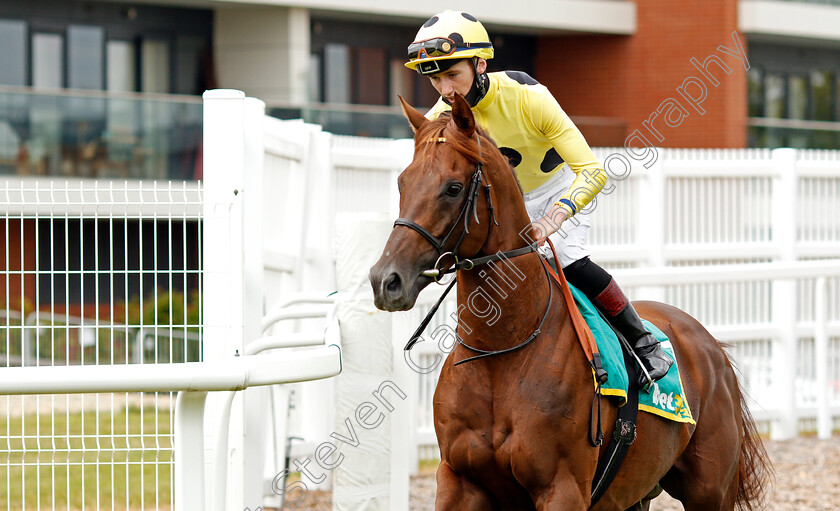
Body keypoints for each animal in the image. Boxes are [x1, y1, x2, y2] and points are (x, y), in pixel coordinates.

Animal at [370, 94, 772, 510]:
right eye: (402, 182)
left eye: (452, 187)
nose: (386, 279)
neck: (501, 352)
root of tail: (711, 346)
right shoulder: (458, 480)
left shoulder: (561, 487)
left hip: (710, 491)